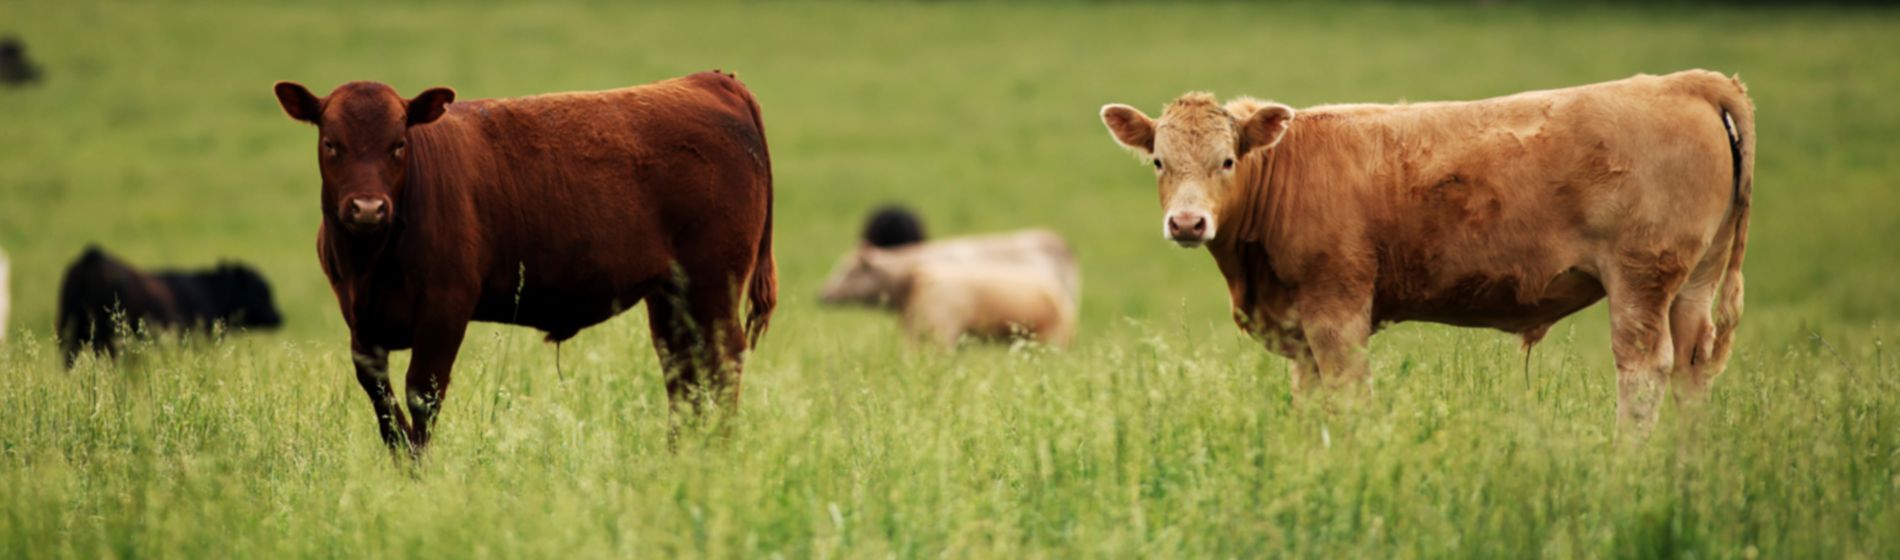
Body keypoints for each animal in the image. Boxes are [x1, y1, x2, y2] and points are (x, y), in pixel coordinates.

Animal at [57, 246, 284, 367]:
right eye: (261, 291)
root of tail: (92, 257)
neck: (209, 291)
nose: (278, 317)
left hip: (69, 335)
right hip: (107, 340)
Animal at [273, 70, 776, 454]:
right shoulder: (360, 326)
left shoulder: (445, 309)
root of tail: (706, 80)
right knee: (684, 372)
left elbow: (422, 395)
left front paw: (420, 474)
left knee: (722, 364)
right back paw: (681, 456)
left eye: (398, 143)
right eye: (331, 143)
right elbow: (383, 404)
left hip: (714, 283)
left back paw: (717, 453)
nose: (367, 208)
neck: (370, 266)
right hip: (672, 296)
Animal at [1099, 70, 1753, 424]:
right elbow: (1311, 407)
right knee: (1692, 370)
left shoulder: (1337, 310)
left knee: (1643, 371)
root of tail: (1686, 82)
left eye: (1228, 161)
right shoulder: (1297, 327)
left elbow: (1349, 397)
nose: (1188, 223)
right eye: (1158, 161)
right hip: (1692, 284)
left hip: (1641, 278)